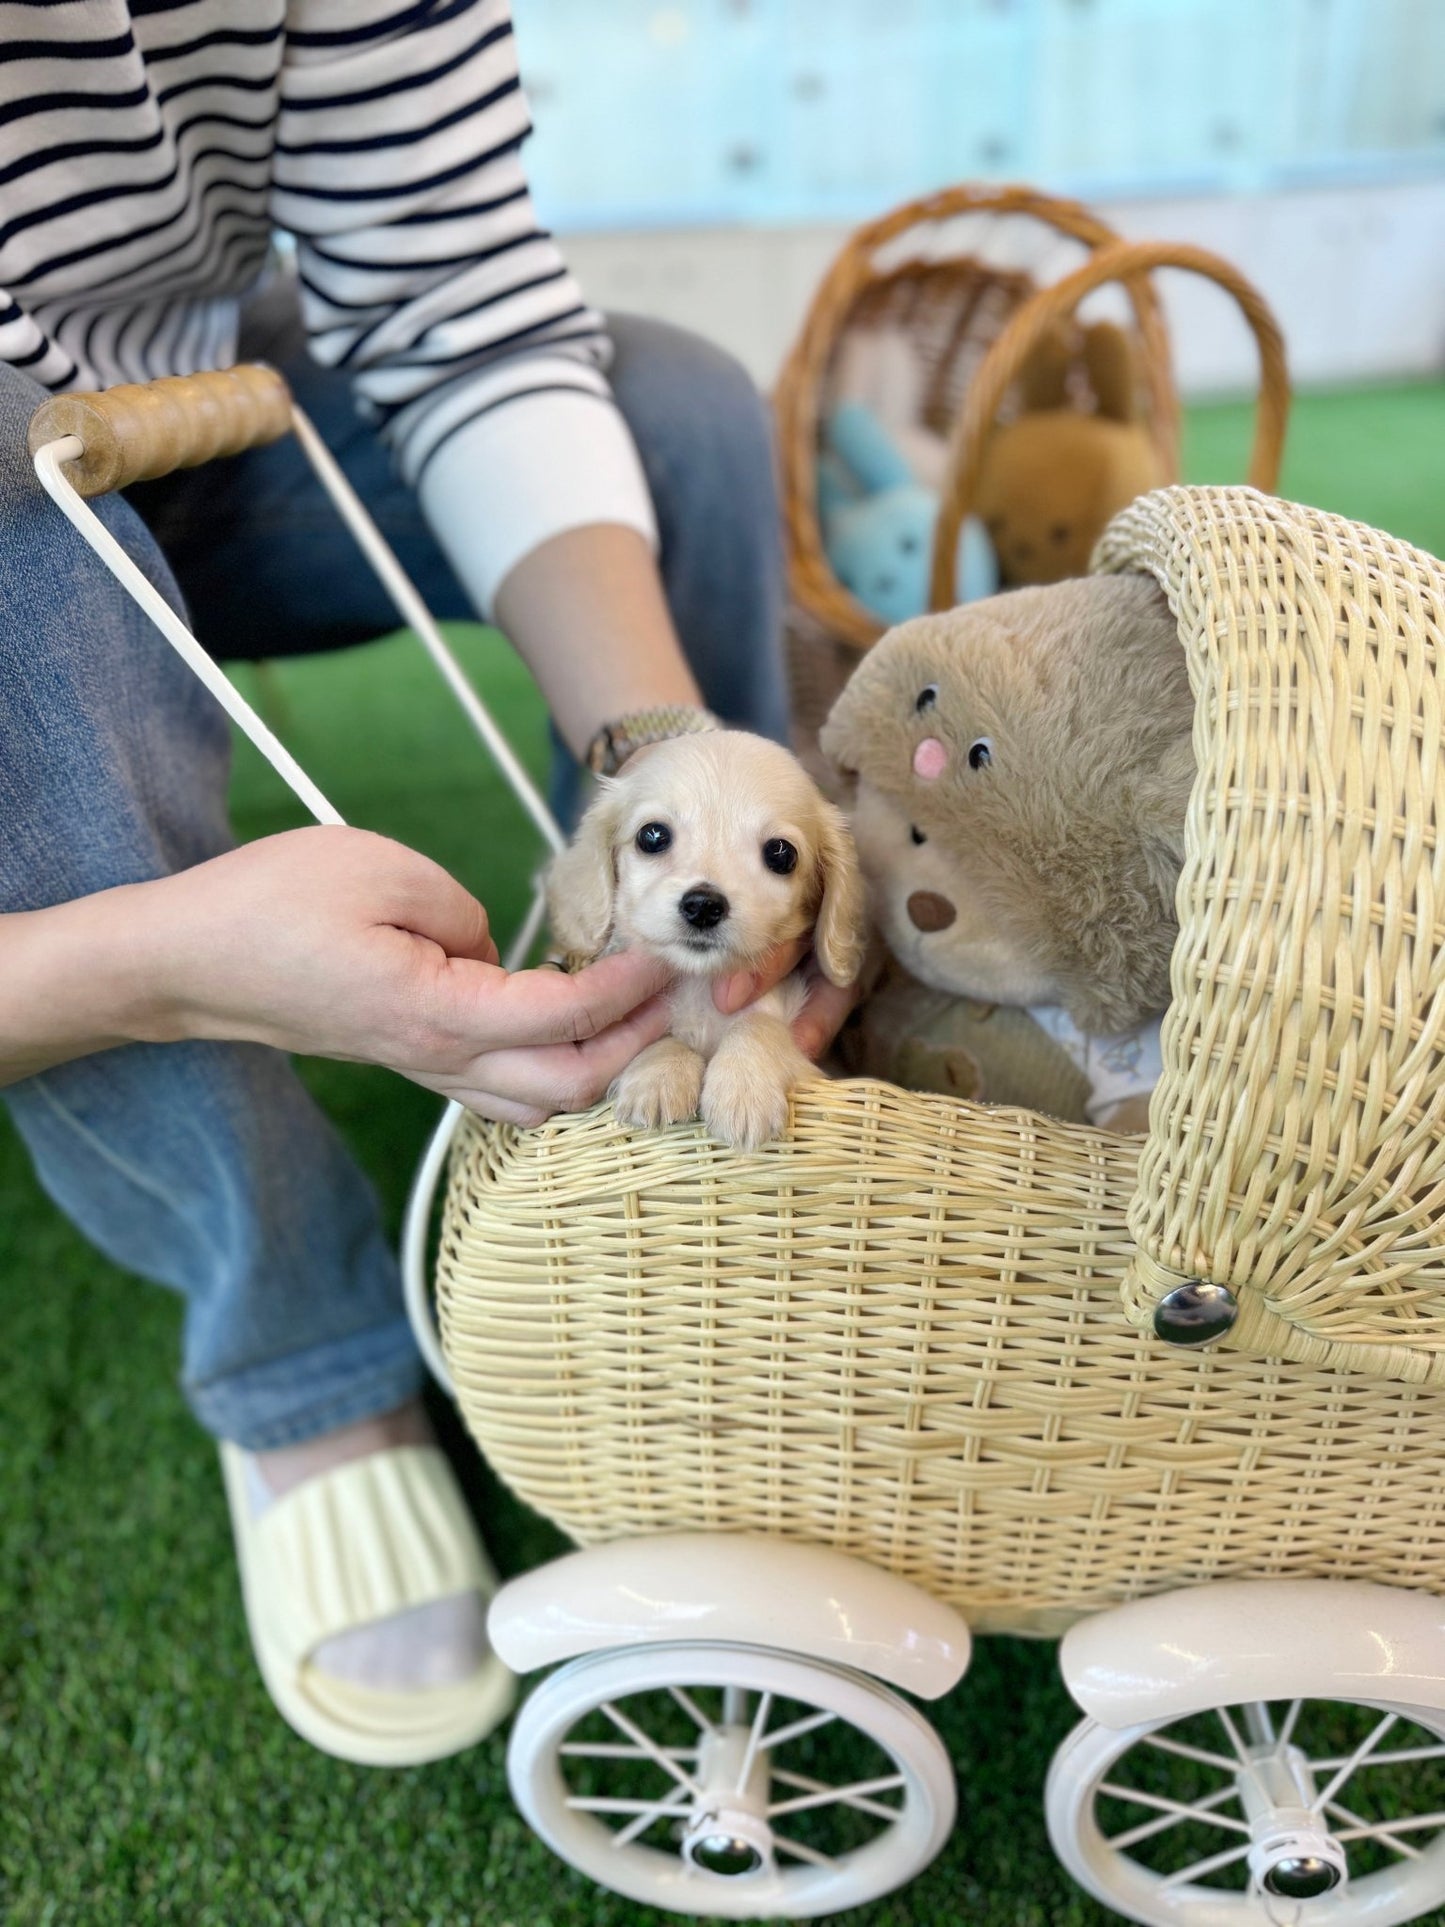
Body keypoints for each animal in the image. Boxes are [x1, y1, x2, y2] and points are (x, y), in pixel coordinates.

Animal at [547, 728, 867, 1148]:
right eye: (652, 835)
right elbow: (663, 1037)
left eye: (781, 854)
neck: (700, 987)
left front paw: (744, 1086)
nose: (703, 906)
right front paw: (659, 1073)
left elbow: (756, 1025)